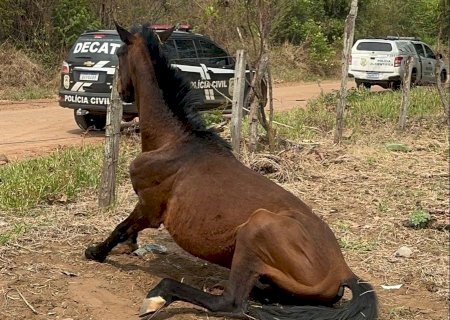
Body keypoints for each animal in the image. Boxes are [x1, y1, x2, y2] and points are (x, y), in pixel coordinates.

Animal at [83, 23, 376, 320]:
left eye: (119, 53)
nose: (121, 92)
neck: (173, 142)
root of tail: (344, 272)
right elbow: (126, 229)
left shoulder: (149, 208)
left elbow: (121, 227)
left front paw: (96, 252)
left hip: (256, 230)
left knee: (231, 302)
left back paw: (160, 295)